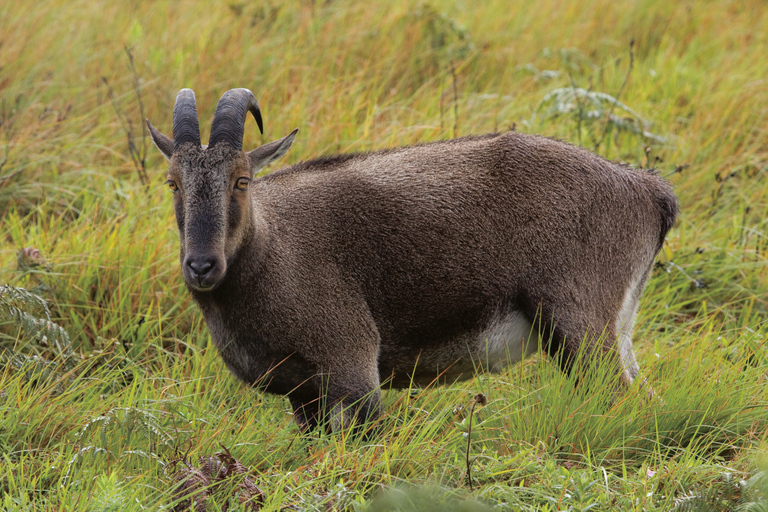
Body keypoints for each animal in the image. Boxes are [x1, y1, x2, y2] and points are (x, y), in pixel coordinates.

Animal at [147, 88, 676, 432]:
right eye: (172, 182)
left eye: (242, 180)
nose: (202, 266)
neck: (273, 250)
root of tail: (650, 191)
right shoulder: (304, 395)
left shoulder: (352, 366)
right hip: (614, 331)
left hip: (581, 327)